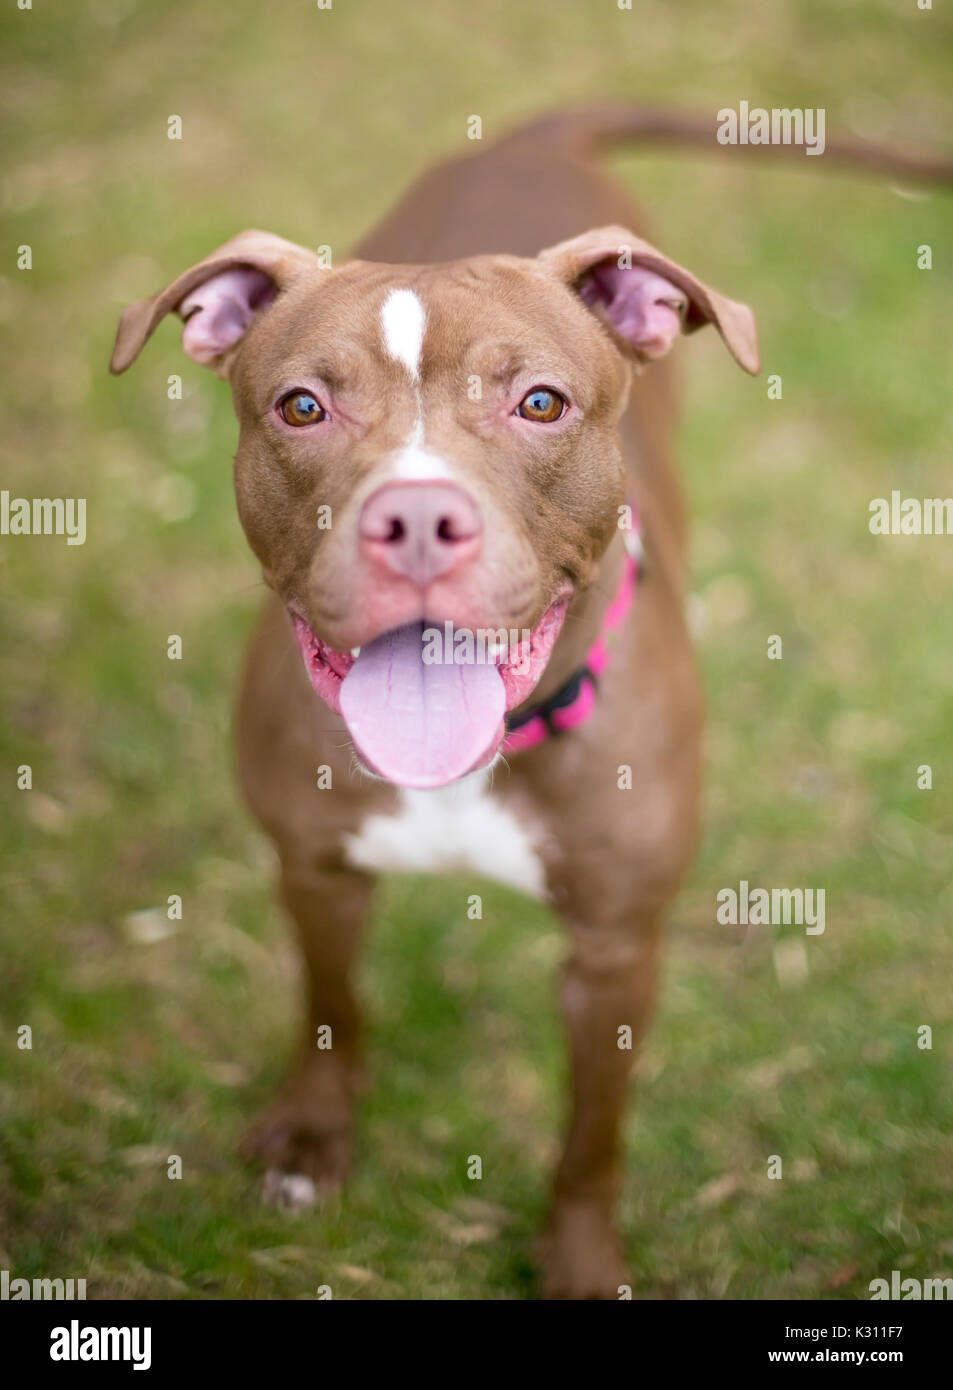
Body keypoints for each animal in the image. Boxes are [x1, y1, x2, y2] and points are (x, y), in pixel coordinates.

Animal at [110, 102, 950, 1295]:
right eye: (302, 405)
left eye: (539, 402)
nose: (417, 519)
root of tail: (535, 135)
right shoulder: (314, 869)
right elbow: (329, 1009)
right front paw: (314, 1141)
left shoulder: (614, 948)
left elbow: (592, 1133)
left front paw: (580, 1255)